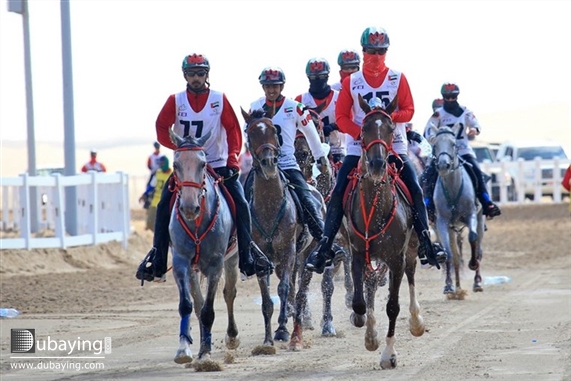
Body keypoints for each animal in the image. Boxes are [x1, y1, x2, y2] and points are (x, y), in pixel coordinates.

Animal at [169, 128, 242, 362]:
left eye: (202, 164)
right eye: (176, 164)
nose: (189, 207)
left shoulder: (215, 265)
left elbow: (209, 311)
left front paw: (206, 354)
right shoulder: (181, 262)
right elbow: (188, 306)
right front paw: (184, 349)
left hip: (232, 259)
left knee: (229, 293)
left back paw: (232, 337)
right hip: (194, 270)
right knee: (198, 304)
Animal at [344, 95, 424, 368]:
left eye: (390, 128)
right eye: (364, 128)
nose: (378, 164)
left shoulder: (396, 258)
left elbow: (392, 306)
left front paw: (389, 354)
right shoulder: (358, 254)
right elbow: (359, 302)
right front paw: (365, 328)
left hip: (411, 249)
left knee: (411, 276)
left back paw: (417, 322)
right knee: (369, 288)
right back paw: (369, 333)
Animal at [426, 123, 484, 296]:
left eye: (453, 144)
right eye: (435, 145)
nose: (443, 165)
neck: (453, 188)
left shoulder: (471, 215)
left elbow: (472, 238)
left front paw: (473, 264)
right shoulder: (441, 223)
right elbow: (449, 254)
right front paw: (449, 286)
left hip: (480, 219)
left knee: (479, 249)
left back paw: (477, 282)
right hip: (450, 229)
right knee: (456, 257)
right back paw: (456, 287)